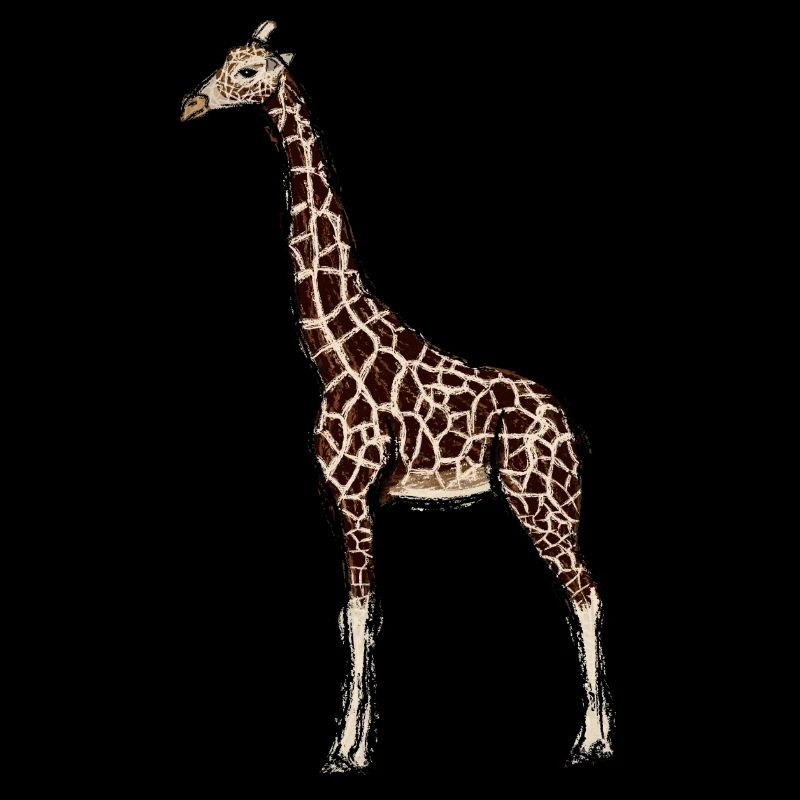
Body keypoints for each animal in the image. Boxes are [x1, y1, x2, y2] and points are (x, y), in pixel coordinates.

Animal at [180, 18, 613, 771]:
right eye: (224, 62)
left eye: (249, 70)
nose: (191, 104)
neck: (331, 351)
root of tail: (568, 427)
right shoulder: (350, 498)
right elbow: (358, 612)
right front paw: (350, 742)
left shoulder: (354, 494)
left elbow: (359, 612)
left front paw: (346, 750)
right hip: (545, 501)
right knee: (581, 592)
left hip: (543, 499)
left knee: (585, 594)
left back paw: (594, 739)